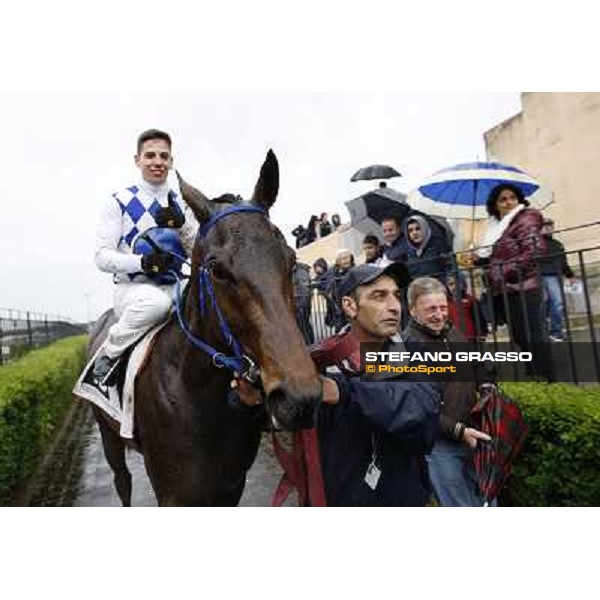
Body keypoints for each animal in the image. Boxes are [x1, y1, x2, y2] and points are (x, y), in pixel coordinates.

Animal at [86, 151, 322, 506]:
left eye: (291, 260)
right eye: (217, 270)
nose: (299, 399)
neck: (195, 391)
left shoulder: (230, 484)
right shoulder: (174, 492)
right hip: (108, 434)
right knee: (122, 481)